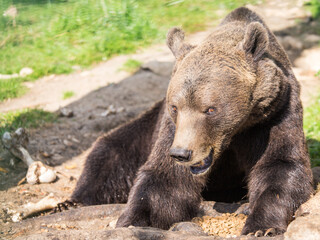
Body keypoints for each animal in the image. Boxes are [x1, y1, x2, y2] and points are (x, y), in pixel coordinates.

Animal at [57, 7, 312, 236]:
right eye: (175, 107)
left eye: (210, 109)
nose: (182, 153)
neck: (238, 130)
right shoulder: (170, 128)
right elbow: (165, 179)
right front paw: (134, 222)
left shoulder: (275, 113)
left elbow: (280, 165)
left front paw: (261, 226)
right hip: (141, 133)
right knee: (108, 154)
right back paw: (70, 203)